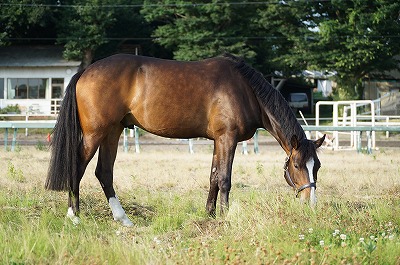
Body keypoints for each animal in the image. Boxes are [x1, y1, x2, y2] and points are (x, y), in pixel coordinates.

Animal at [45, 53, 324, 225]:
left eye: (317, 167)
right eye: (296, 165)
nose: (311, 204)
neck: (246, 90)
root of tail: (85, 72)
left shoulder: (218, 140)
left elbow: (213, 177)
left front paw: (210, 215)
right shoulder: (227, 138)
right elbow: (225, 179)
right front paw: (225, 217)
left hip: (113, 131)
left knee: (104, 172)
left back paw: (123, 219)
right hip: (95, 133)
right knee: (78, 167)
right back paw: (74, 216)